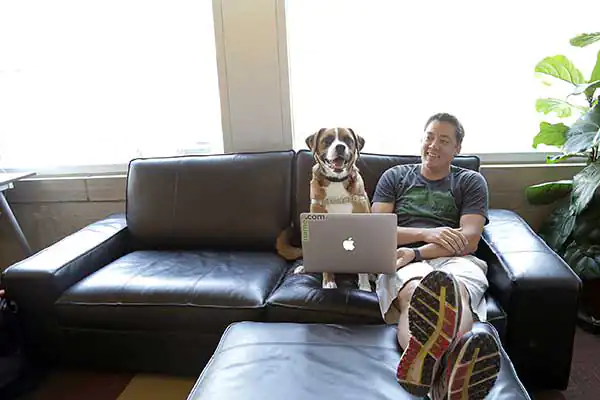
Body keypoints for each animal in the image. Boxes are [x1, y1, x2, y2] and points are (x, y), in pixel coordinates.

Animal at [276, 127, 370, 290]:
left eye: (348, 140)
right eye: (327, 140)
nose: (340, 147)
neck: (336, 181)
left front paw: (365, 287)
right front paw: (328, 283)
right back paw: (304, 268)